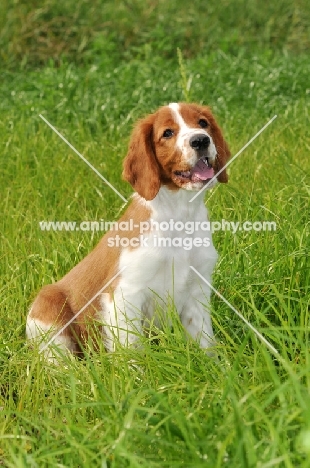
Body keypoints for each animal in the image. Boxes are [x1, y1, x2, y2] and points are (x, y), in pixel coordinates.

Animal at [26, 103, 230, 358]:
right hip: (48, 309)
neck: (179, 214)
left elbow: (205, 342)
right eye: (167, 133)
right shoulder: (125, 294)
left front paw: (217, 366)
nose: (201, 140)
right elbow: (132, 349)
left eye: (203, 123)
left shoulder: (197, 291)